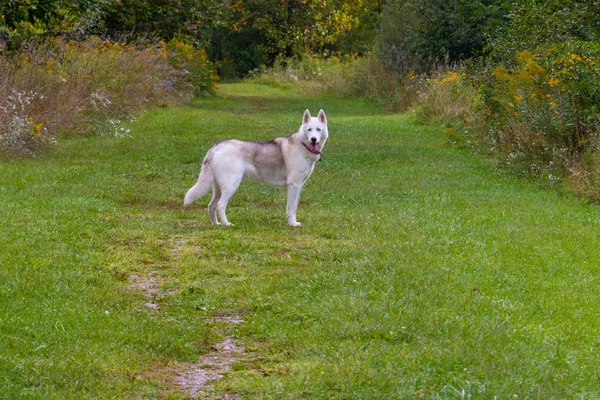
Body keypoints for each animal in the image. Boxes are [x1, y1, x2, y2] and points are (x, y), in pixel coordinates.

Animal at [185, 109, 330, 227]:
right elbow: (291, 208)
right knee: (220, 205)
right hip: (231, 185)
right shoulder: (293, 185)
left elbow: (294, 207)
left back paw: (216, 224)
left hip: (218, 188)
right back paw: (226, 224)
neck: (302, 146)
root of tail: (217, 146)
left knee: (211, 206)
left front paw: (293, 222)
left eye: (318, 130)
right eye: (309, 130)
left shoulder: (299, 186)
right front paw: (292, 224)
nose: (313, 139)